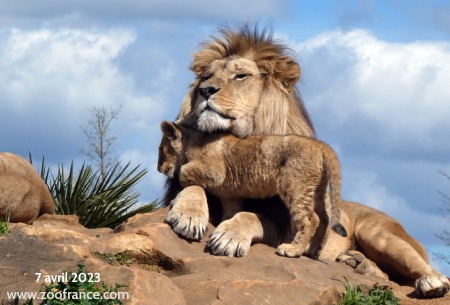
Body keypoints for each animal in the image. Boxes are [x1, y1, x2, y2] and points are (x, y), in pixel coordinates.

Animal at [163, 26, 448, 296]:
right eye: (205, 76)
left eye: (240, 76)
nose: (205, 90)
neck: (228, 140)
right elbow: (191, 186)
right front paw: (189, 216)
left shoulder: (284, 226)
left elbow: (250, 215)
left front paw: (228, 236)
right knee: (386, 276)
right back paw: (356, 263)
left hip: (378, 234)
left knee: (427, 272)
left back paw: (431, 282)